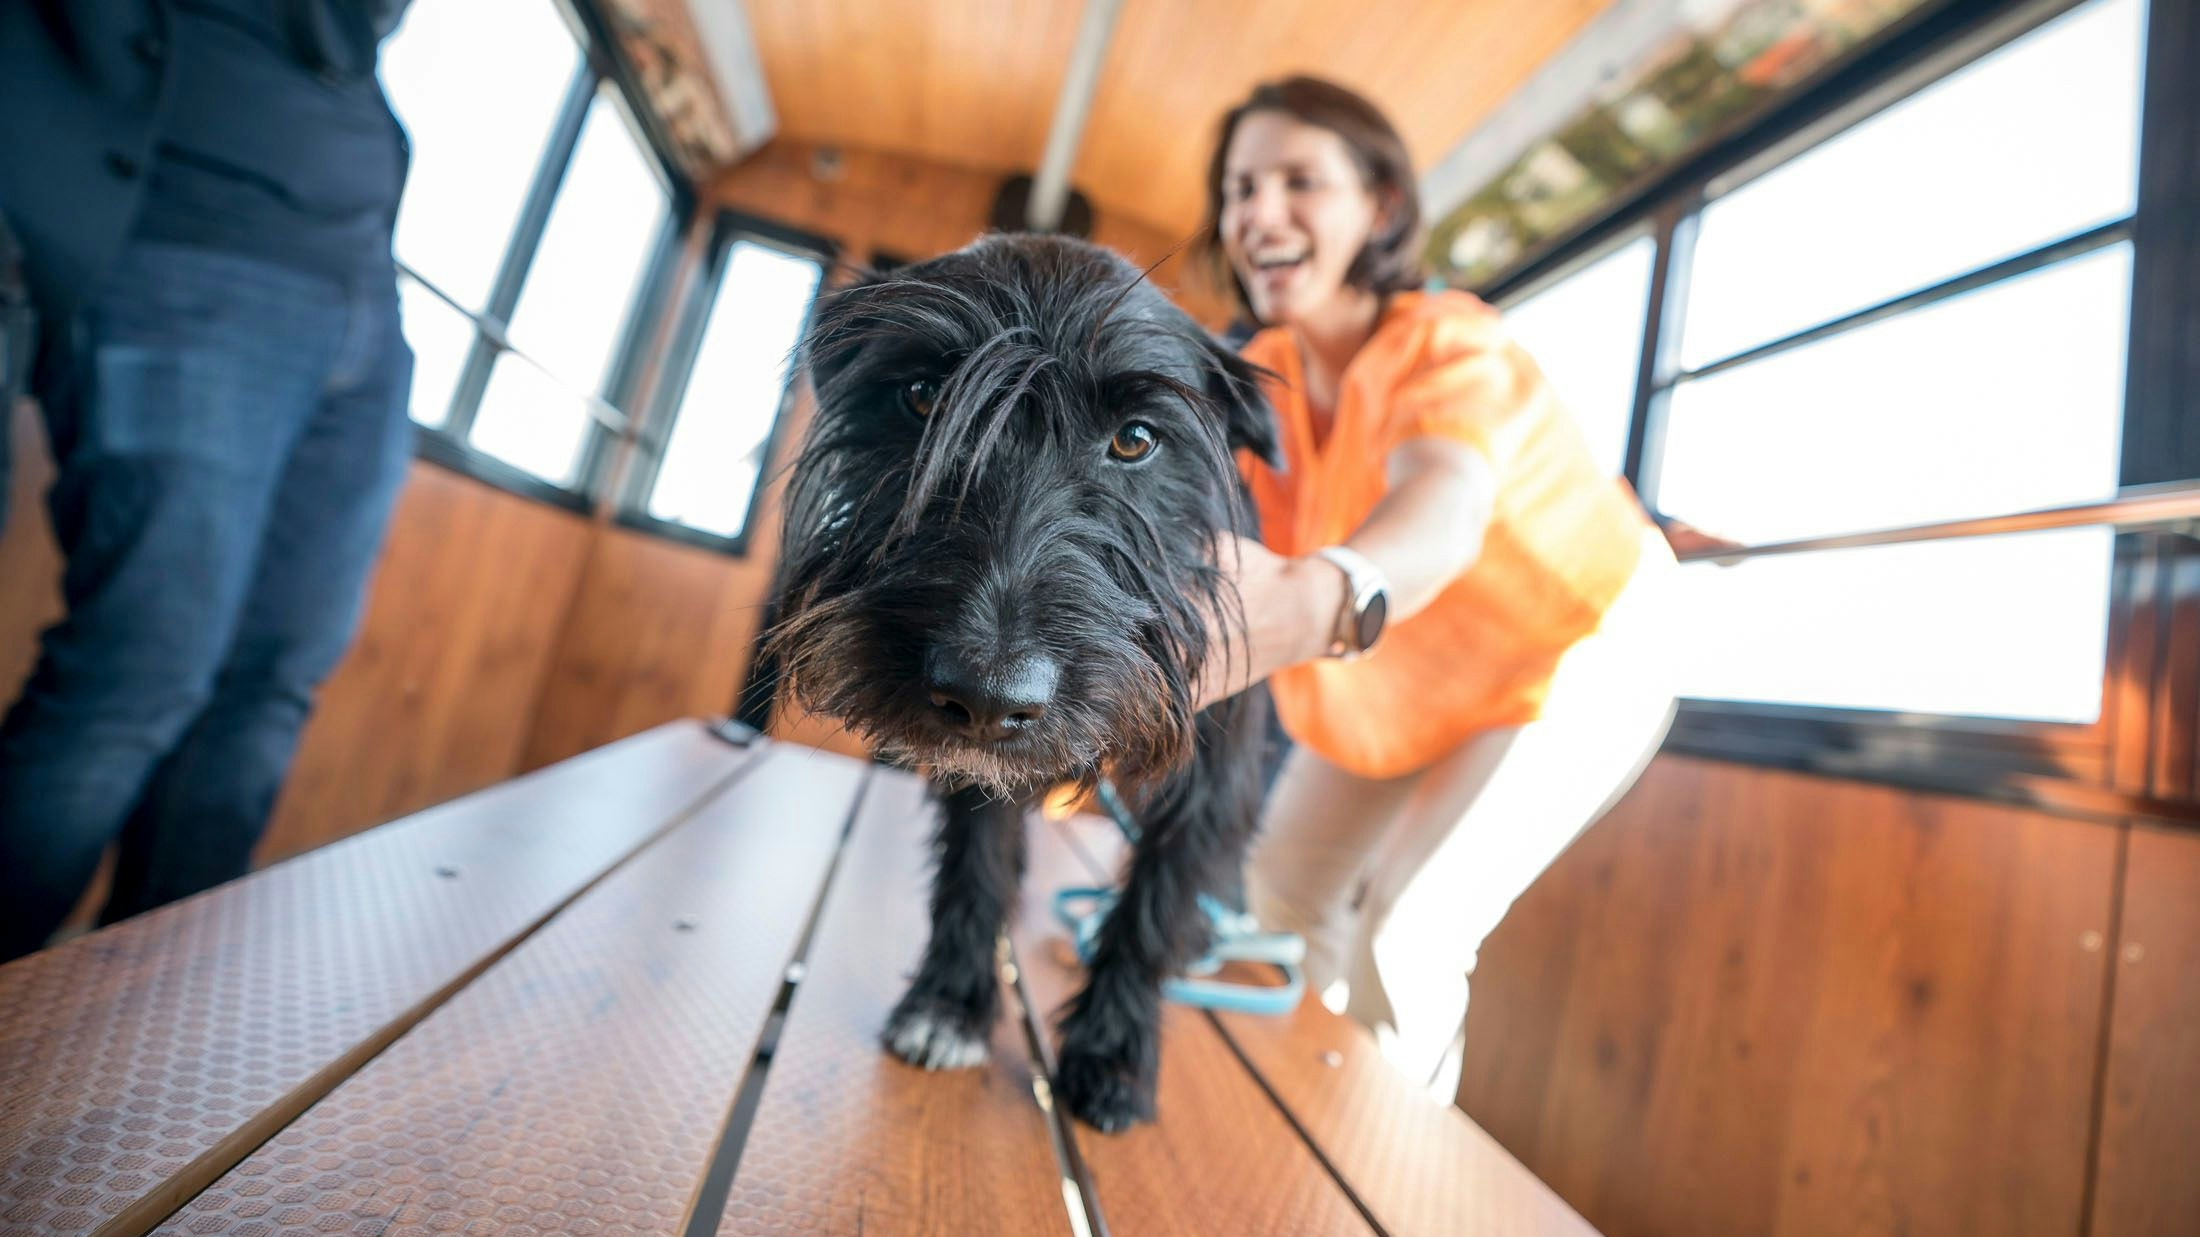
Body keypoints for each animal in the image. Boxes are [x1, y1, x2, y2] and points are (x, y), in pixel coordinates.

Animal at [770, 228, 1284, 1126]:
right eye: (920, 395)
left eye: (1136, 439)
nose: (987, 692)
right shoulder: (981, 768)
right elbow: (975, 868)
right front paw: (948, 1003)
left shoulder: (1213, 778)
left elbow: (1156, 907)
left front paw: (1113, 1051)